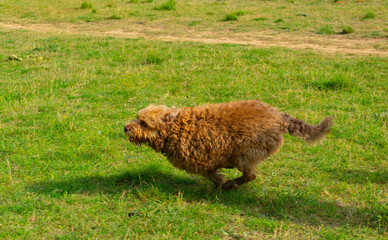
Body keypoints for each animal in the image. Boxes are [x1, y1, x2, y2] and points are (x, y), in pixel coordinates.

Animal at [125, 99, 334, 189]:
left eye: (144, 123)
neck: (176, 128)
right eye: (137, 117)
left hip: (246, 154)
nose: (125, 127)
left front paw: (222, 182)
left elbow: (212, 175)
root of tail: (280, 117)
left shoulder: (201, 162)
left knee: (250, 175)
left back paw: (232, 184)